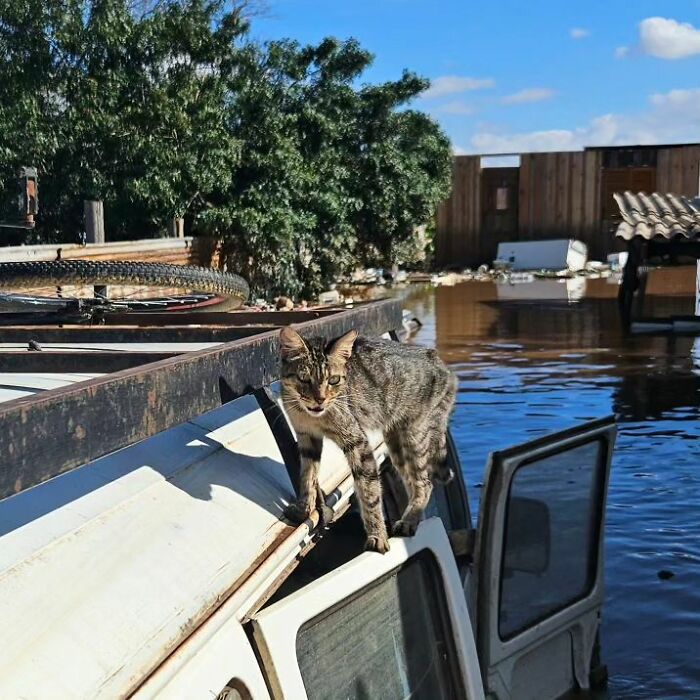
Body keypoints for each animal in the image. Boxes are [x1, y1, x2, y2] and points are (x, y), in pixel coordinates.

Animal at [278, 326, 460, 552]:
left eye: (334, 380)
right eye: (304, 379)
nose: (320, 399)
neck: (312, 416)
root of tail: (444, 366)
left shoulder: (358, 443)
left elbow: (369, 492)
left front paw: (377, 535)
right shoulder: (306, 437)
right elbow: (307, 475)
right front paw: (304, 507)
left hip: (415, 435)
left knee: (425, 483)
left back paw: (409, 520)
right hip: (396, 443)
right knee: (413, 481)